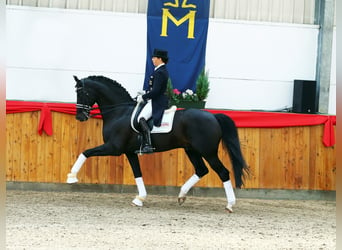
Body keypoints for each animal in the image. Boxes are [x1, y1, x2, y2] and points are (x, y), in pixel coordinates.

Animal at [67, 75, 248, 212]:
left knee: (223, 172)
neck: (120, 112)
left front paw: (71, 177)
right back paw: (181, 196)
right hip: (191, 150)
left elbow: (85, 152)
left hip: (208, 152)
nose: (80, 117)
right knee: (201, 170)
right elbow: (137, 173)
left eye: (82, 93)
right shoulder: (129, 152)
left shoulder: (114, 148)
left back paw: (229, 205)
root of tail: (213, 116)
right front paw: (139, 199)